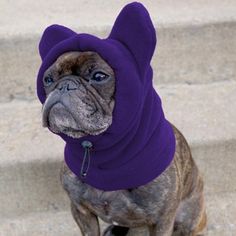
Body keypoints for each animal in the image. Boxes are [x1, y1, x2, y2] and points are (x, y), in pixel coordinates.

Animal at [37, 2, 206, 236]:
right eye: (48, 79)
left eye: (99, 76)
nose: (65, 85)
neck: (102, 156)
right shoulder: (80, 210)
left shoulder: (162, 220)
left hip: (189, 216)